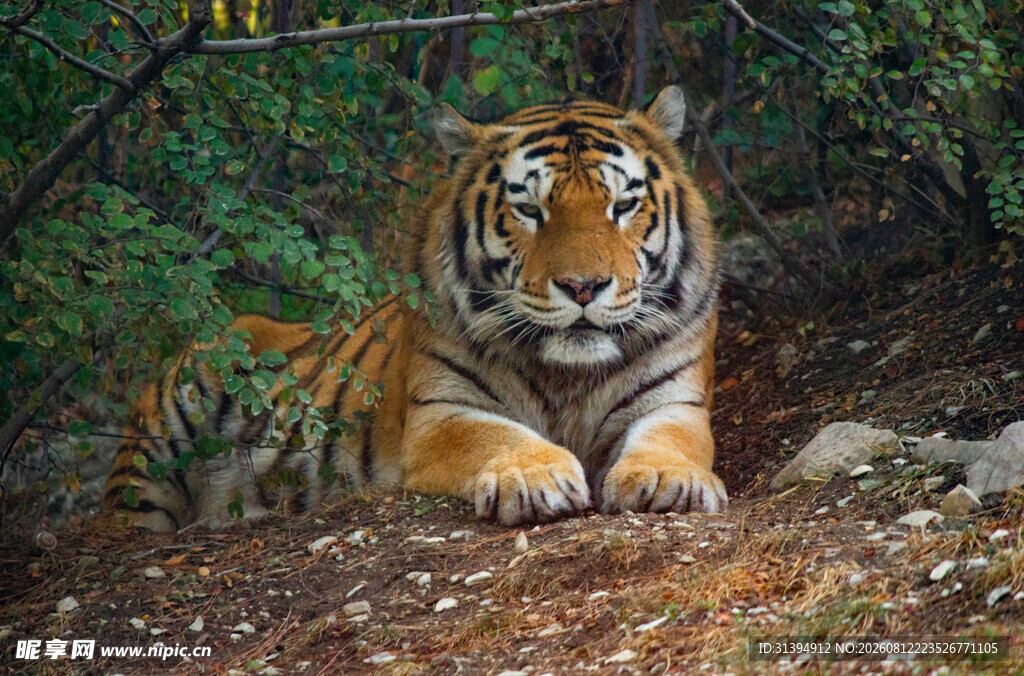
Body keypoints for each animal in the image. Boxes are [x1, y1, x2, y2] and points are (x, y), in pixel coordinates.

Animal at [101, 86, 728, 530]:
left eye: (623, 205)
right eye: (529, 209)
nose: (583, 286)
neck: (567, 377)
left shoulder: (677, 401)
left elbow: (672, 440)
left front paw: (665, 479)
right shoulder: (440, 414)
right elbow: (495, 437)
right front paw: (535, 477)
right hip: (171, 425)